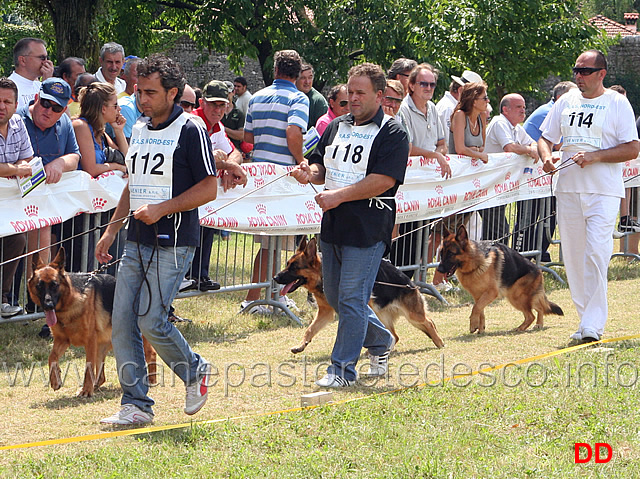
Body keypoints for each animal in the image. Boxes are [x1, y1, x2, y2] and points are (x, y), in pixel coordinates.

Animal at [29, 248, 158, 398]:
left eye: (54, 285)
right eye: (40, 286)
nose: (48, 306)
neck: (69, 302)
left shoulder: (90, 341)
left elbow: (88, 366)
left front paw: (86, 390)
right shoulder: (62, 340)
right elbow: (52, 357)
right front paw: (56, 380)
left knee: (151, 353)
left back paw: (151, 381)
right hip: (102, 346)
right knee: (101, 376)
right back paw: (95, 386)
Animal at [272, 238, 442, 354]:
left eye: (294, 267)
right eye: (287, 264)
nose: (275, 277)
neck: (322, 274)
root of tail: (410, 283)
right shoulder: (325, 312)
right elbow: (310, 329)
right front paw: (301, 345)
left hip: (412, 315)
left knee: (429, 322)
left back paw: (439, 341)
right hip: (384, 315)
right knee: (395, 335)